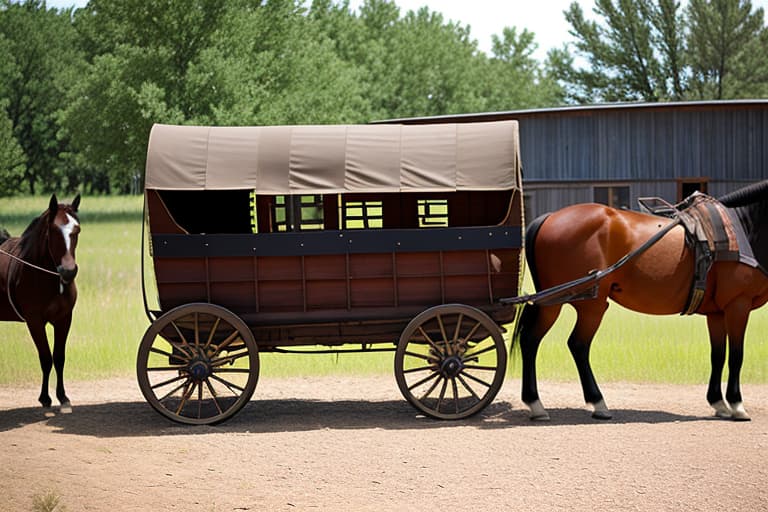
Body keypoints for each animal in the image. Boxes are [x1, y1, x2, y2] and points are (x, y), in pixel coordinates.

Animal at [0, 194, 81, 414]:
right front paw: (45, 398)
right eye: (54, 230)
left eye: (77, 230)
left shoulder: (64, 319)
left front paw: (63, 397)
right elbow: (45, 358)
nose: (68, 271)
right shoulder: (35, 322)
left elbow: (59, 358)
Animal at [512, 182, 768, 422]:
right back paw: (594, 403)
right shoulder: (738, 305)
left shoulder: (717, 312)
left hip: (556, 302)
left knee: (532, 341)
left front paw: (719, 403)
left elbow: (718, 355)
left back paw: (537, 404)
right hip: (584, 305)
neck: (741, 230)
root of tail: (549, 217)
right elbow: (736, 356)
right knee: (574, 345)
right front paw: (737, 405)